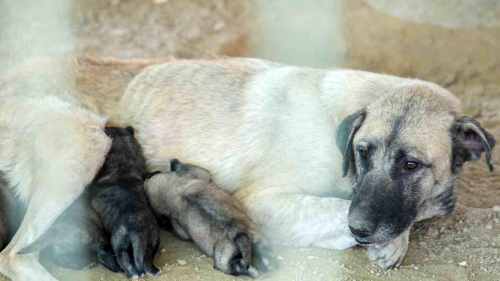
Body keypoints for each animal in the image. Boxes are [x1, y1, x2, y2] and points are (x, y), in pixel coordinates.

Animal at [89, 126, 161, 276]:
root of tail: (138, 231)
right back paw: (154, 271)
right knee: (147, 260)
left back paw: (132, 274)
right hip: (153, 240)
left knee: (125, 260)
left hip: (119, 243)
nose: (107, 126)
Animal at [144, 158, 278, 278]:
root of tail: (238, 233)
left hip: (224, 261)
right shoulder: (199, 174)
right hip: (258, 239)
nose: (146, 174)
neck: (175, 189)